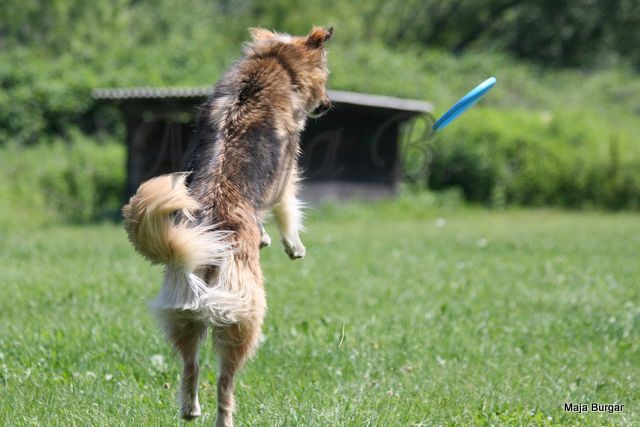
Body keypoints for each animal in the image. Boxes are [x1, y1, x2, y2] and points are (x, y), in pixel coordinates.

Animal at [120, 27, 332, 427]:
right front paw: (290, 244)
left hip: (184, 315)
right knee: (224, 382)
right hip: (243, 320)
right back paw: (224, 418)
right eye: (326, 75)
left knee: (190, 366)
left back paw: (190, 409)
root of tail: (200, 256)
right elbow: (286, 207)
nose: (328, 104)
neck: (273, 62)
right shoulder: (286, 169)